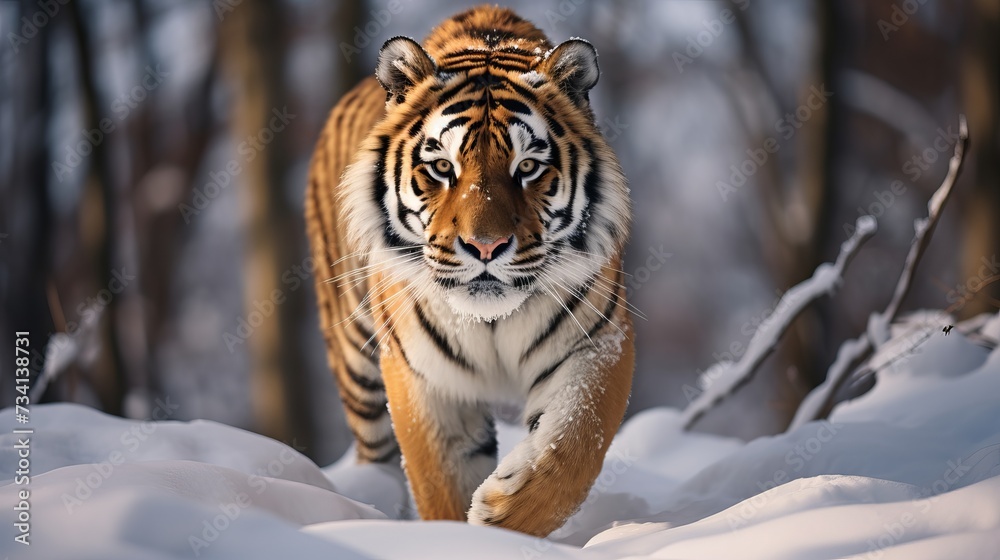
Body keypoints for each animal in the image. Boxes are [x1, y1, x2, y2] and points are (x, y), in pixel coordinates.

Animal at [305, 5, 634, 537]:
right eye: (442, 167)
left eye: (528, 167)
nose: (486, 246)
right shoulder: (426, 376)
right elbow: (441, 480)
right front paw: (461, 535)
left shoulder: (597, 341)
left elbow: (577, 440)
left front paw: (503, 513)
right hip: (355, 358)